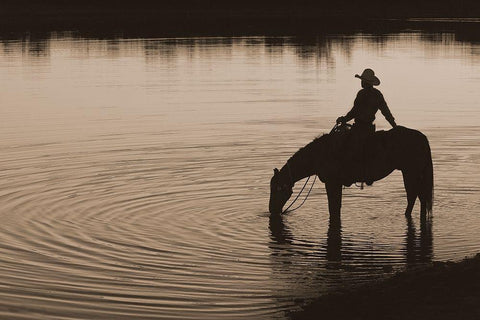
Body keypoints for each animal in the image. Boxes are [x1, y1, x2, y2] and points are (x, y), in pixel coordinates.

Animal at [268, 126, 434, 219]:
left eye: (276, 189)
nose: (271, 210)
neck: (319, 154)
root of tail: (423, 138)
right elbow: (336, 207)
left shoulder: (332, 182)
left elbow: (333, 208)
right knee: (421, 197)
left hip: (410, 173)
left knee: (414, 196)